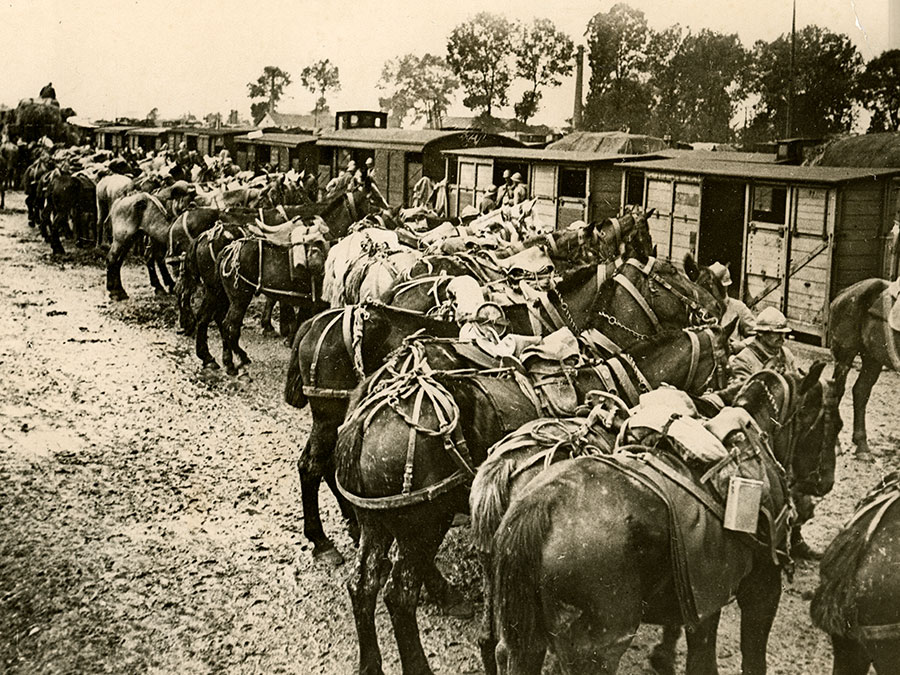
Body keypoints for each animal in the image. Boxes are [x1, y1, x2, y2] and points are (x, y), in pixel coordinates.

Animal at [334, 324, 736, 672]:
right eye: (729, 366)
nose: (718, 411)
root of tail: (367, 417)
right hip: (423, 526)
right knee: (399, 596)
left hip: (376, 523)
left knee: (362, 585)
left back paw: (372, 661)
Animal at [488, 364, 840, 675]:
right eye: (832, 422)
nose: (825, 482)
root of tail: (541, 506)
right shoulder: (762, 588)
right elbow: (753, 658)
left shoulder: (703, 591)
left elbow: (700, 657)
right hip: (595, 651)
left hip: (525, 638)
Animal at [828, 278, 900, 456]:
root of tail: (845, 292)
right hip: (845, 355)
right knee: (838, 389)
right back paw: (836, 444)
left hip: (872, 358)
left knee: (860, 391)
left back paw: (862, 446)